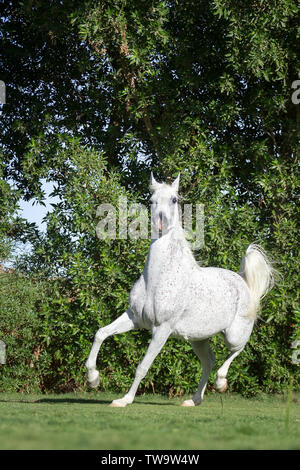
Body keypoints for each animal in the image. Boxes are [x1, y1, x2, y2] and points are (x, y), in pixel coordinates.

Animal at [85, 174, 274, 406]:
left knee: (235, 351)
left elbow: (142, 367)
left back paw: (221, 383)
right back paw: (194, 400)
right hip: (197, 339)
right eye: (151, 199)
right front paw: (93, 379)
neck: (157, 280)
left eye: (174, 199)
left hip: (233, 335)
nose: (161, 224)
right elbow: (101, 333)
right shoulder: (134, 318)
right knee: (209, 361)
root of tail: (243, 283)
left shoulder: (162, 329)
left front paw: (124, 400)